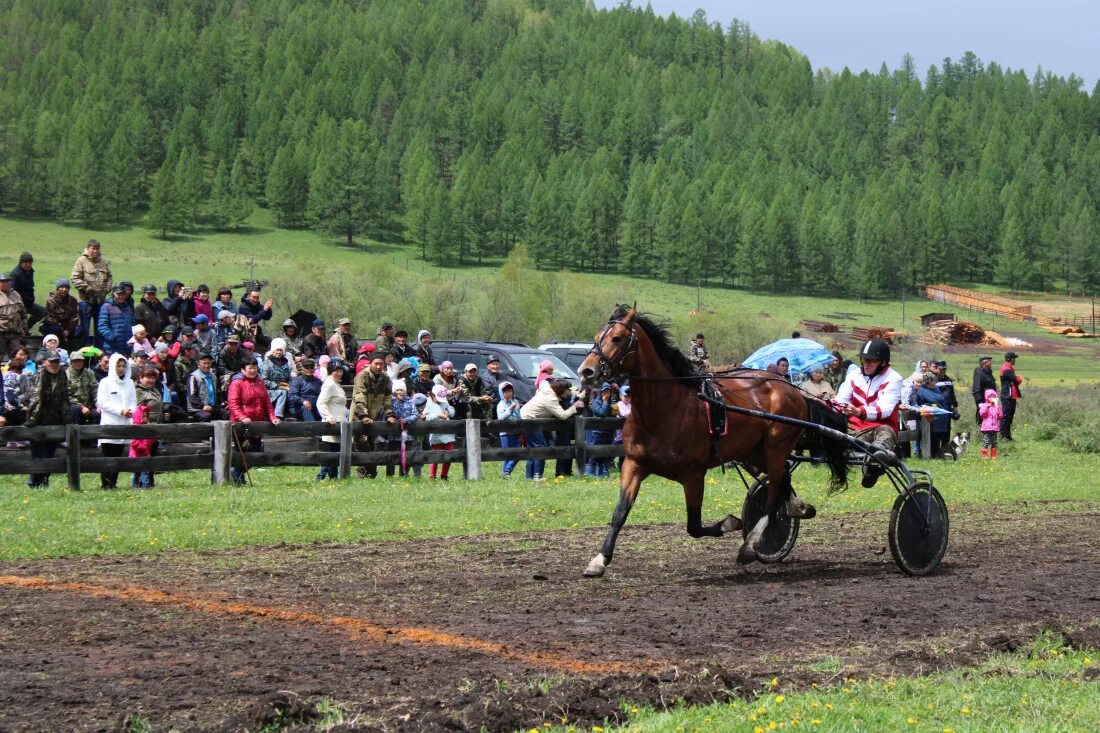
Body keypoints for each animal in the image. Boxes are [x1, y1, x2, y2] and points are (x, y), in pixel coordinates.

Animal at [576, 303, 849, 576]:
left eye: (617, 338)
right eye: (596, 337)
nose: (586, 371)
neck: (666, 409)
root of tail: (793, 390)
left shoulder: (694, 475)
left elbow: (694, 526)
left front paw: (730, 523)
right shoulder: (634, 464)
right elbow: (620, 513)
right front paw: (599, 560)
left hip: (776, 447)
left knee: (773, 496)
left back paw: (751, 545)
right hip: (754, 452)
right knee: (782, 478)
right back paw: (796, 507)